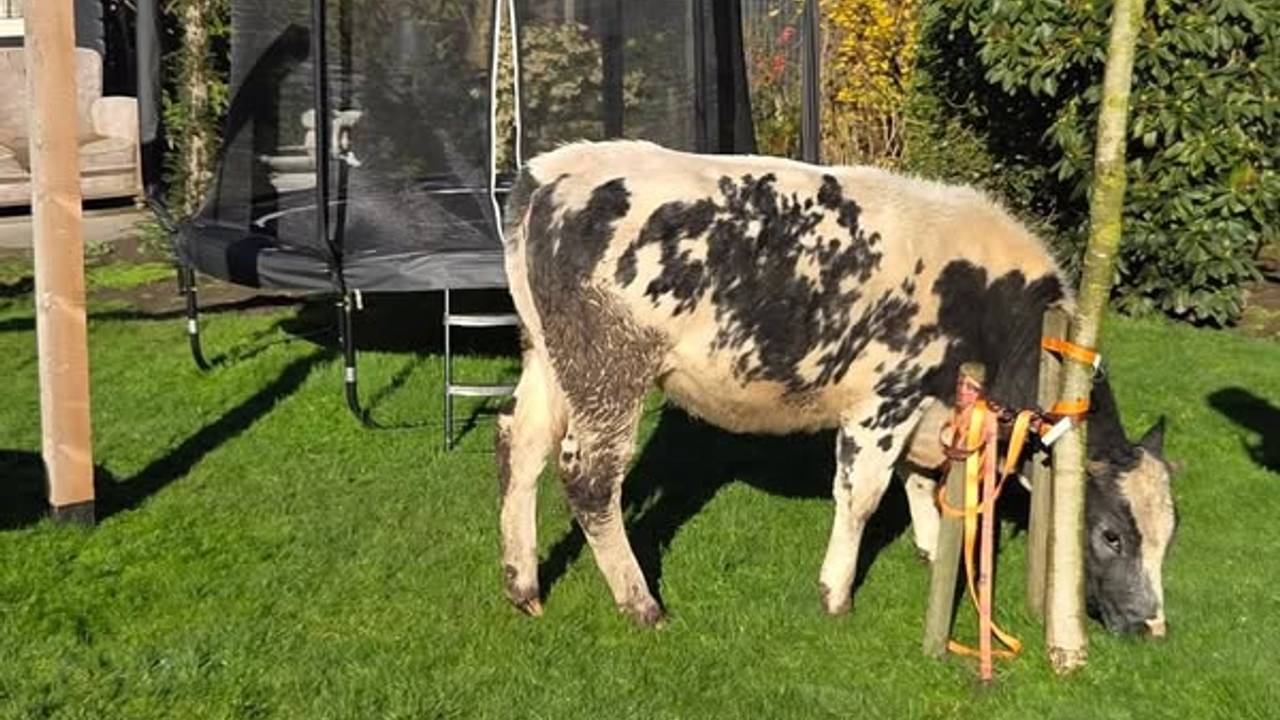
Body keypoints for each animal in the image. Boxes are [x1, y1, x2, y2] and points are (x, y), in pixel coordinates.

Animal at [495, 140, 1176, 636]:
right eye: (1111, 534)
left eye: (1170, 536)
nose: (1151, 625)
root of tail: (554, 169)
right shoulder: (885, 401)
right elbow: (862, 496)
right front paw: (836, 592)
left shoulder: (931, 411)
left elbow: (921, 481)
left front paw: (931, 548)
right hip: (610, 371)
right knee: (589, 481)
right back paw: (640, 603)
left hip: (548, 358)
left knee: (520, 451)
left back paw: (523, 585)